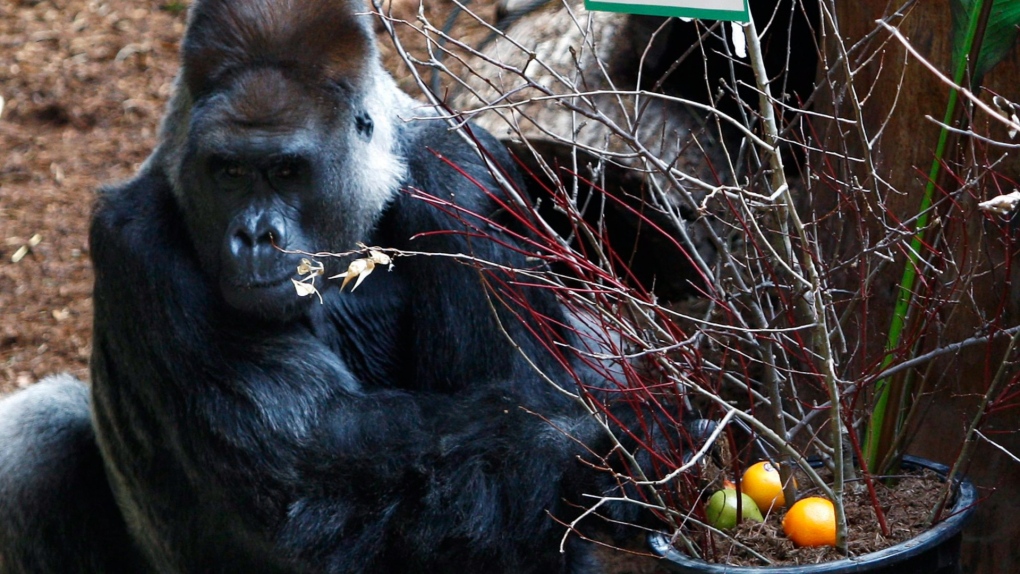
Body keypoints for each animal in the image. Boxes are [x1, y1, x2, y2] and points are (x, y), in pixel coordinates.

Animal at [0, 1, 624, 574]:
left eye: (286, 171)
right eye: (228, 171)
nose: (255, 236)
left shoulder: (468, 187)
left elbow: (523, 404)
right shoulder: (137, 237)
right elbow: (312, 460)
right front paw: (599, 439)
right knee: (35, 441)